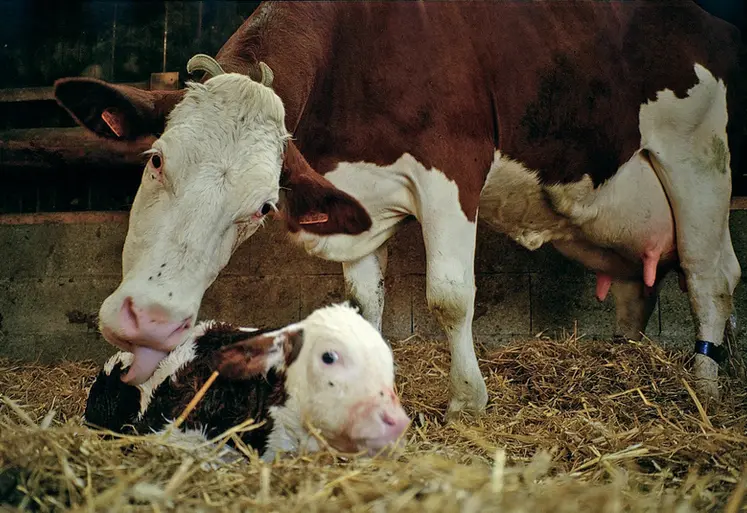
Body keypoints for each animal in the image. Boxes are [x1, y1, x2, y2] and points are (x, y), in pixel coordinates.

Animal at [53, 1, 746, 418]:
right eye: (156, 160)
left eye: (263, 205)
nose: (148, 320)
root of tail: (710, 24)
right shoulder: (357, 205)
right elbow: (364, 302)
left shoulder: (453, 166)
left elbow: (450, 295)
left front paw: (468, 402)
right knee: (640, 291)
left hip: (698, 162)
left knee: (710, 276)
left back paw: (706, 390)